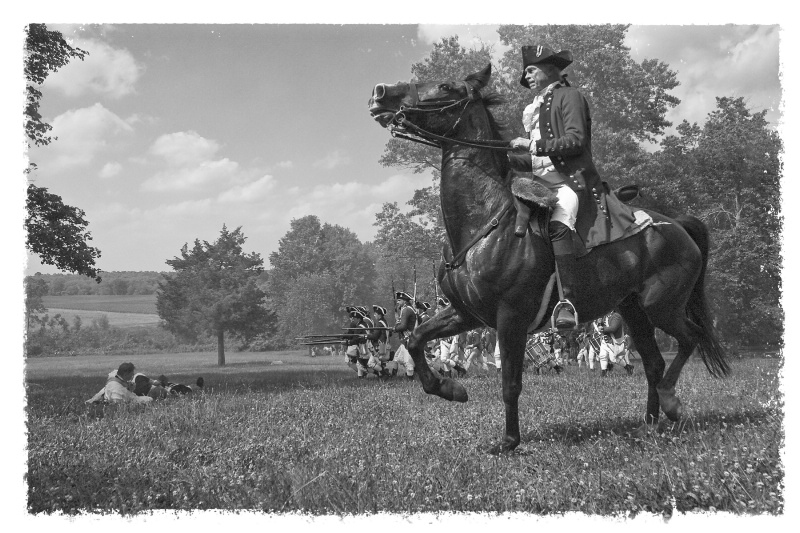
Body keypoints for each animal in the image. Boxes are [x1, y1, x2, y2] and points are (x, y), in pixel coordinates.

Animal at [366, 64, 728, 450]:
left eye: (447, 86)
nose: (380, 93)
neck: (483, 221)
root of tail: (676, 225)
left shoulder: (510, 318)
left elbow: (510, 383)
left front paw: (509, 441)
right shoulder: (465, 313)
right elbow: (415, 339)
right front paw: (450, 389)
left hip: (661, 306)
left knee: (690, 339)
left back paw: (671, 403)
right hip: (634, 310)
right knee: (654, 363)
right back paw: (649, 424)